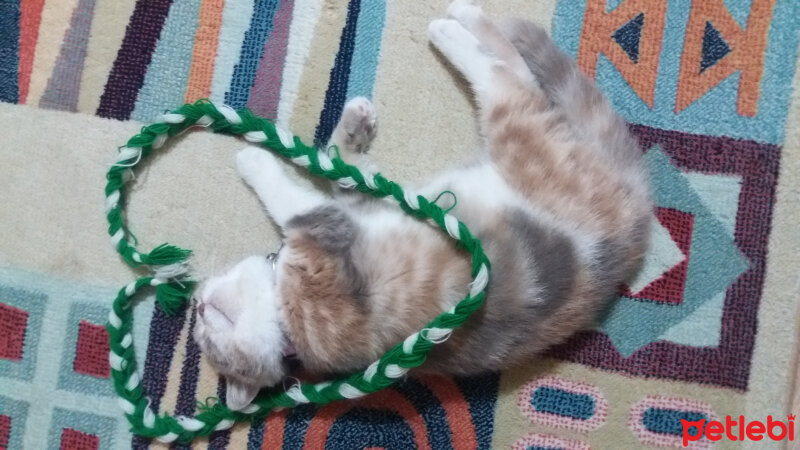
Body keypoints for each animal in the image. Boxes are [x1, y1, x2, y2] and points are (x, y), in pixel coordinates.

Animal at [194, 0, 648, 412]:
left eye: (203, 329)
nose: (196, 303)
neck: (286, 316)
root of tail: (635, 217)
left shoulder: (349, 213)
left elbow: (328, 178)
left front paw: (345, 131)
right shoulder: (335, 230)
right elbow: (305, 197)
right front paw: (257, 158)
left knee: (511, 73)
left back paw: (458, 22)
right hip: (523, 136)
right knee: (511, 80)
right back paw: (454, 27)